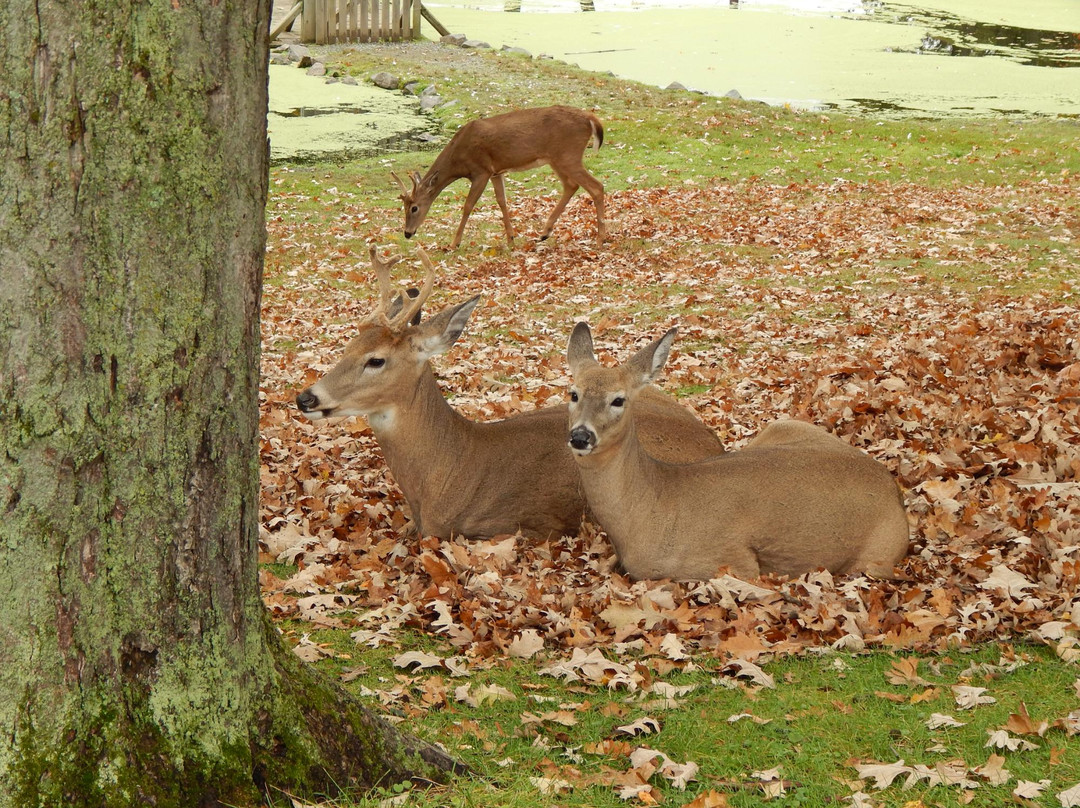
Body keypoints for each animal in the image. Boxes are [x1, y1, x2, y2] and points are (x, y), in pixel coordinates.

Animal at [393, 104, 609, 249]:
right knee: (571, 185)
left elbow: (468, 206)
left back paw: (600, 240)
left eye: (414, 207)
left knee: (596, 186)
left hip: (567, 155)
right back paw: (544, 233)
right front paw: (510, 239)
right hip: (557, 159)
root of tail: (592, 119)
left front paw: (454, 243)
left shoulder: (480, 171)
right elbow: (502, 201)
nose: (407, 233)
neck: (458, 159)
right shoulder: (496, 172)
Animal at [565, 321, 911, 578]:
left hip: (873, 560)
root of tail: (893, 489)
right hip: (782, 426)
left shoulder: (731, 561)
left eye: (618, 399)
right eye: (573, 393)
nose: (580, 436)